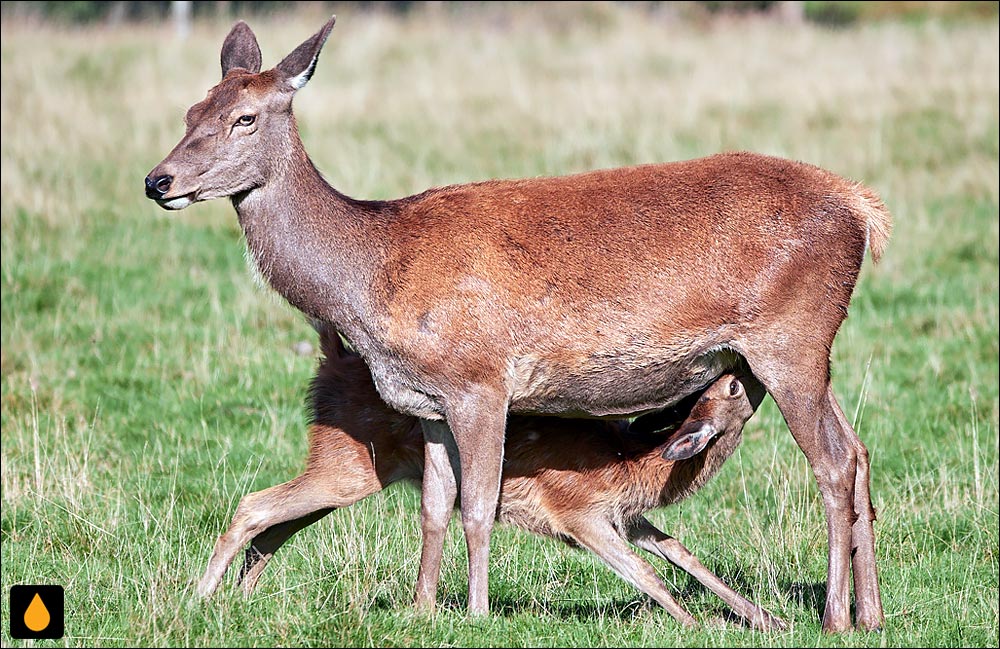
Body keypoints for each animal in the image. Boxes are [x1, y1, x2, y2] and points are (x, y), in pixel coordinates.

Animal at [197, 326, 788, 632]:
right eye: (733, 388)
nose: (744, 364)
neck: (633, 462)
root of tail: (332, 360)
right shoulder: (578, 512)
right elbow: (645, 572)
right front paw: (698, 626)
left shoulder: (626, 516)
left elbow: (681, 552)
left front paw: (765, 619)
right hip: (347, 466)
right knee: (254, 505)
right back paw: (200, 596)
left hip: (344, 470)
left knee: (277, 524)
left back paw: (241, 596)